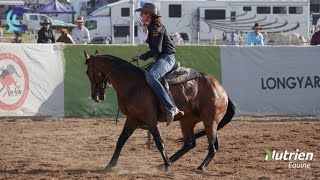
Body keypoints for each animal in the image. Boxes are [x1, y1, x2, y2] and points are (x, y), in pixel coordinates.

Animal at [84, 50, 235, 172]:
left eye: (87, 72)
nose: (95, 96)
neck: (132, 84)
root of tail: (220, 88)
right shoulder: (132, 118)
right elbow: (121, 140)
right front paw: (110, 164)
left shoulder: (150, 119)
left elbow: (158, 141)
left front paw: (167, 165)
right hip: (187, 121)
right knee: (190, 143)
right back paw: (166, 163)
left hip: (210, 120)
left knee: (213, 146)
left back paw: (200, 166)